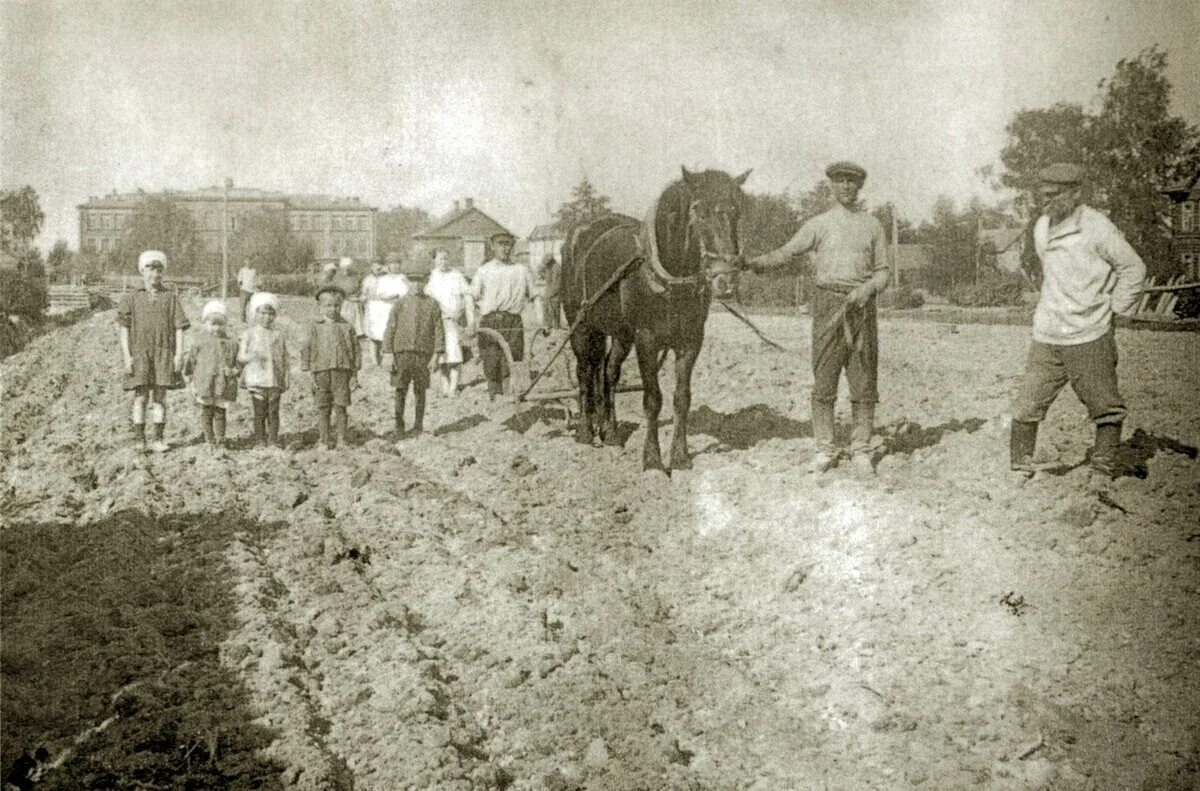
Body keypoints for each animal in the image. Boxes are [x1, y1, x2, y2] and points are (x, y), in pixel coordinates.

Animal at [556, 169, 744, 470]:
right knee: (585, 372)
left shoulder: (690, 341)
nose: (726, 280)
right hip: (582, 326)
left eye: (737, 210)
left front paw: (680, 457)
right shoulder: (646, 339)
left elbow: (681, 398)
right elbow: (653, 399)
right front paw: (653, 460)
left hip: (621, 333)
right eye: (698, 210)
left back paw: (610, 432)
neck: (669, 280)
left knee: (608, 372)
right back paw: (586, 431)